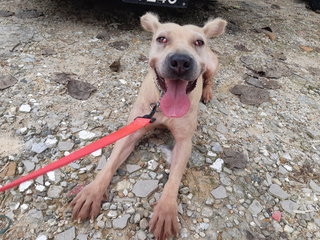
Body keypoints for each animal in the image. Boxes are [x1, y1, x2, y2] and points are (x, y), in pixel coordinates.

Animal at [70, 12, 225, 240]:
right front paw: (92, 192)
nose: (180, 61)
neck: (162, 104)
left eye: (199, 42)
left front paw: (166, 210)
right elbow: (110, 163)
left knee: (209, 79)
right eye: (161, 39)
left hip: (212, 66)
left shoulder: (184, 142)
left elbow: (174, 178)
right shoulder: (132, 131)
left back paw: (206, 92)